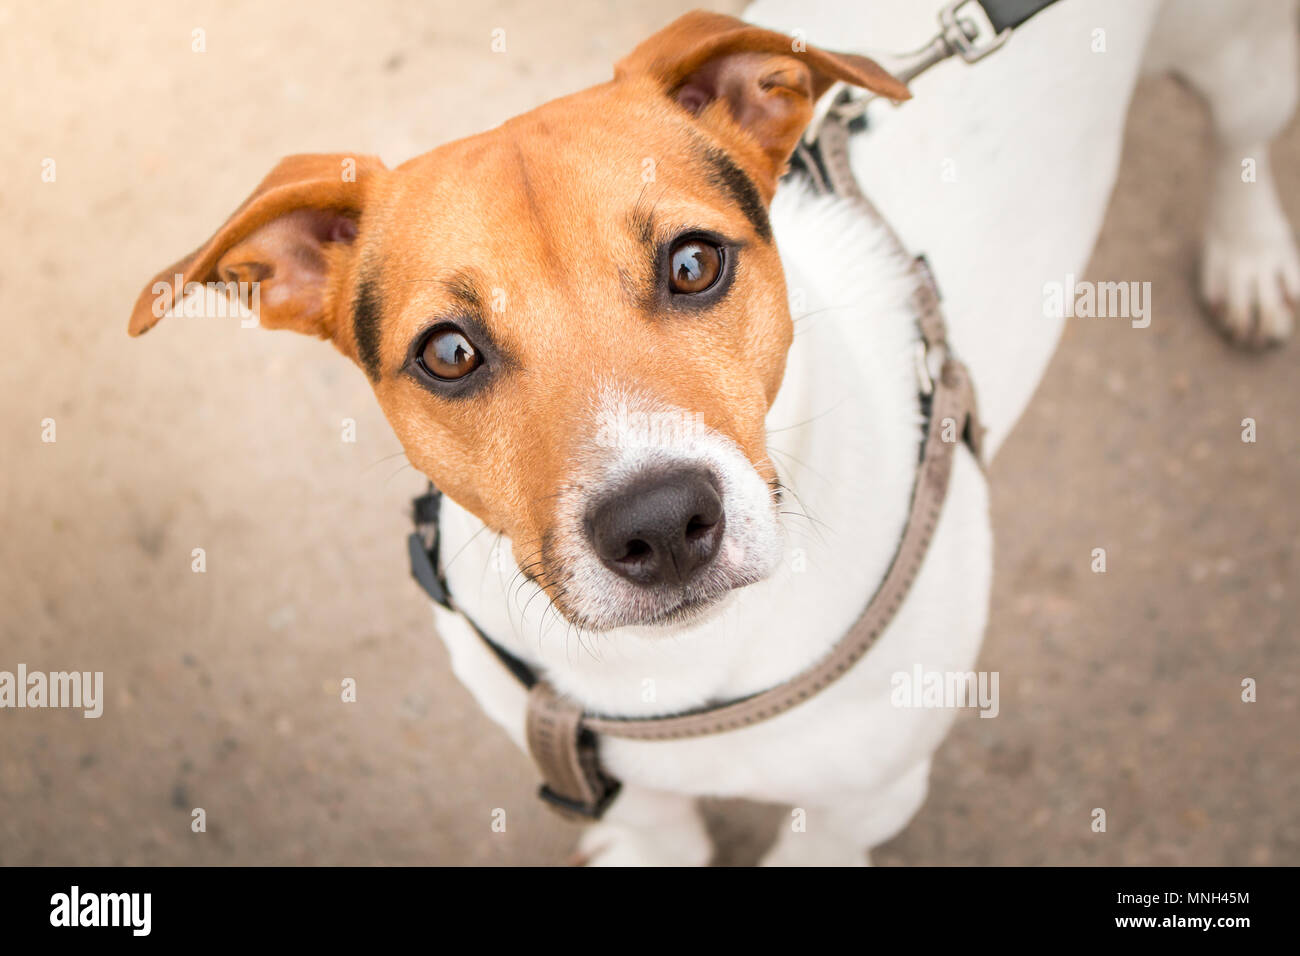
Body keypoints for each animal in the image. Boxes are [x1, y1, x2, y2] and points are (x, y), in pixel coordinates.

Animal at [126, 1, 1294, 868]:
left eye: (693, 262)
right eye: (447, 352)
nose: (658, 524)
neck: (680, 668)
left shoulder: (865, 798)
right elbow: (650, 825)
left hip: (1241, 59)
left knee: (1240, 142)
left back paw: (1249, 258)